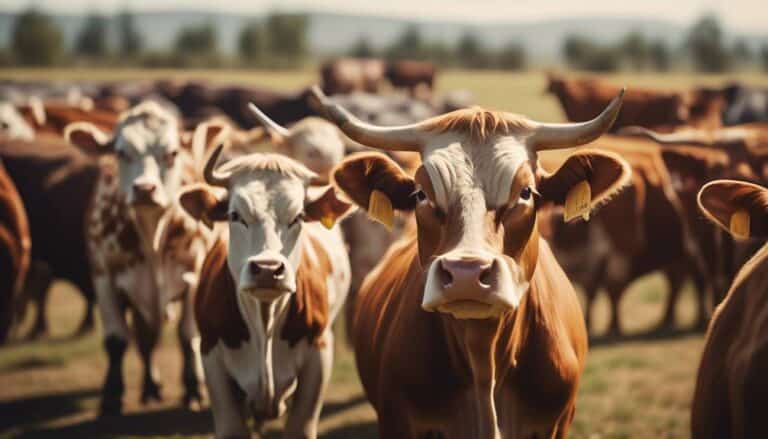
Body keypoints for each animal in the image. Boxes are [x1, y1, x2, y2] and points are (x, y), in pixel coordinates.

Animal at [66, 101, 221, 415]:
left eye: (172, 153)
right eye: (121, 152)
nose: (145, 189)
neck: (152, 235)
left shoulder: (194, 275)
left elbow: (189, 336)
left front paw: (194, 389)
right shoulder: (103, 277)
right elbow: (117, 340)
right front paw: (112, 396)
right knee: (146, 341)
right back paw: (150, 386)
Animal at [179, 148, 352, 438]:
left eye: (298, 217)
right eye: (234, 215)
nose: (268, 269)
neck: (264, 322)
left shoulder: (320, 352)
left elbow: (300, 426)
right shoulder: (210, 353)